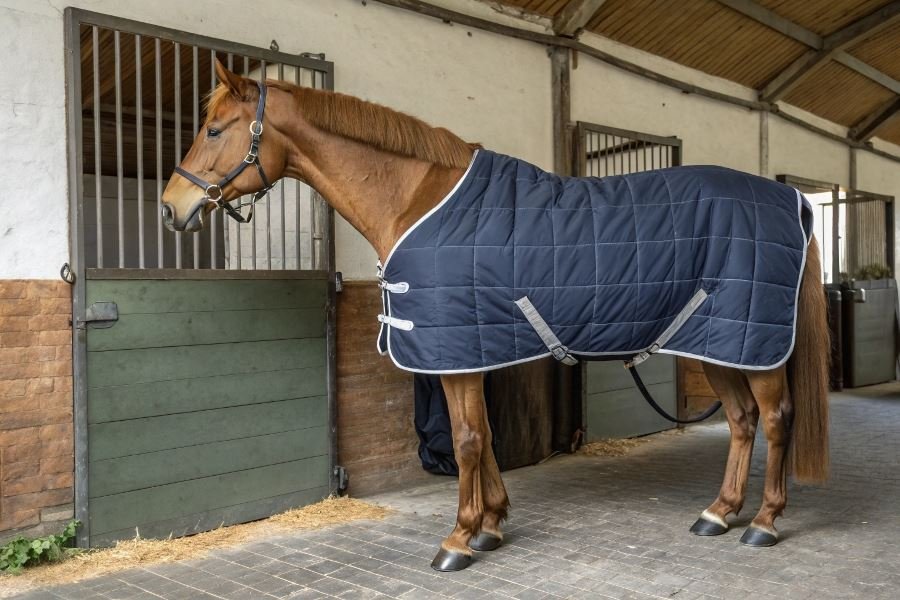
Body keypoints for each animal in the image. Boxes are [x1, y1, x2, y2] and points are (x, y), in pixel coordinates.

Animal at [162, 60, 830, 572]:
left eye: (214, 129)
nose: (172, 207)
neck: (417, 197)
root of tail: (790, 199)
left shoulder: (456, 354)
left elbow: (465, 441)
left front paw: (458, 539)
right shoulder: (472, 349)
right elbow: (482, 437)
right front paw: (491, 525)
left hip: (751, 345)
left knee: (774, 419)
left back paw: (763, 522)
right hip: (717, 343)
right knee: (741, 420)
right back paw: (718, 513)